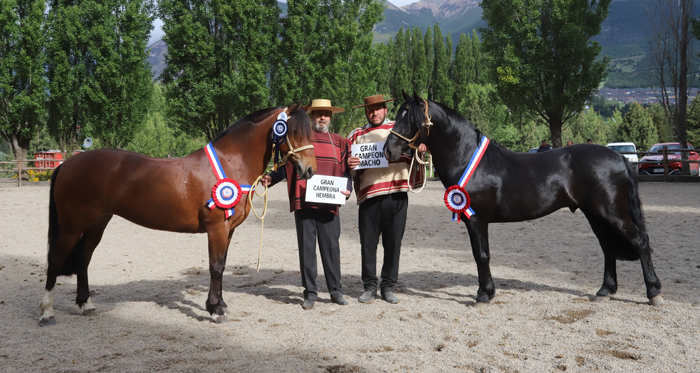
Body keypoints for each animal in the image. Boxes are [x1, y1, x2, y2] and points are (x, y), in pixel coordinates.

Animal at [41, 103, 318, 324]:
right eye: (294, 131)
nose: (310, 170)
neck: (230, 162)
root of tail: (68, 163)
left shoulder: (229, 230)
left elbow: (223, 265)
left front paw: (220, 303)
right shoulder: (217, 229)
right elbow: (216, 266)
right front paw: (214, 310)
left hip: (97, 223)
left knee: (83, 259)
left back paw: (85, 304)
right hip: (72, 226)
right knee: (56, 259)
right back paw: (47, 312)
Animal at [382, 93, 660, 308]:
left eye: (411, 118)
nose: (388, 150)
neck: (469, 158)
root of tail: (618, 156)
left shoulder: (478, 219)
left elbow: (482, 255)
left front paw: (483, 295)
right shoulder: (472, 221)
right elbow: (477, 255)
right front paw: (486, 291)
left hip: (612, 213)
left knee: (640, 241)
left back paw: (653, 292)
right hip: (595, 214)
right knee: (608, 247)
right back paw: (604, 291)